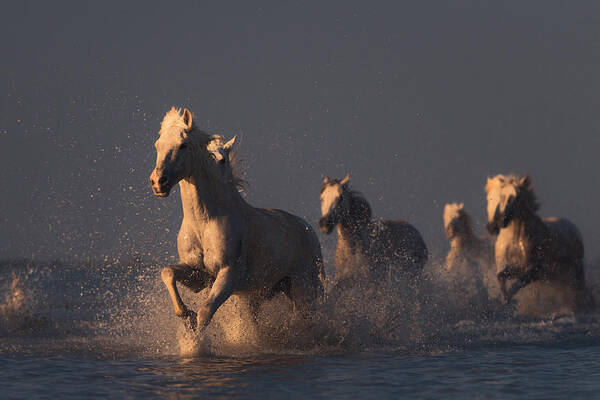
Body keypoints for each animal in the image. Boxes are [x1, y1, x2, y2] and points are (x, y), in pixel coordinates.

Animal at [152, 107, 326, 334]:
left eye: (183, 145)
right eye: (158, 145)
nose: (158, 182)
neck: (205, 222)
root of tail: (307, 228)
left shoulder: (228, 274)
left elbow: (205, 312)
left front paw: (195, 336)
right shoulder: (199, 275)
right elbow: (168, 272)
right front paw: (185, 315)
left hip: (304, 288)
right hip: (258, 295)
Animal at [482, 173, 584, 308]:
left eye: (512, 198)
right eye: (490, 198)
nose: (493, 226)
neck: (515, 240)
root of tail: (573, 227)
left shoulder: (535, 271)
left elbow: (519, 283)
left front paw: (509, 299)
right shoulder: (512, 267)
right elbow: (501, 276)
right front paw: (505, 300)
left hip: (575, 275)